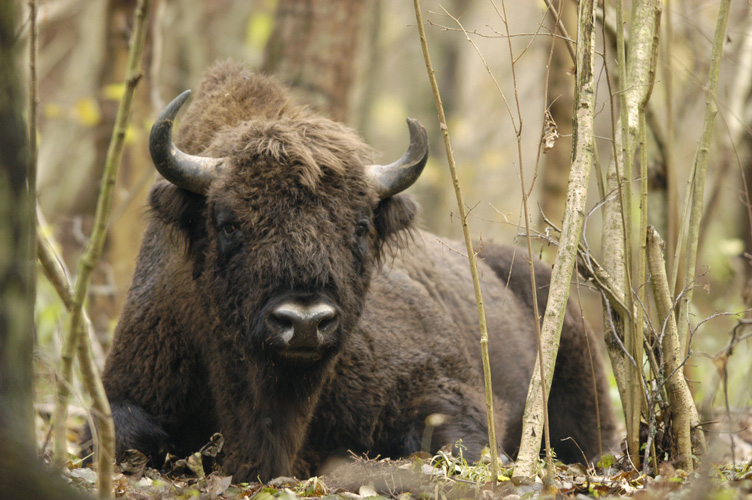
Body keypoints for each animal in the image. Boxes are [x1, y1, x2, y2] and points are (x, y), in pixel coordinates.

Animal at [101, 60, 616, 482]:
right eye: (229, 223)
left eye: (361, 226)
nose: (304, 323)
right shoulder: (125, 387)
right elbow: (129, 433)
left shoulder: (441, 384)